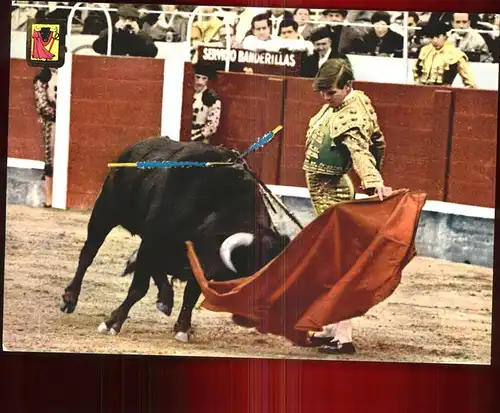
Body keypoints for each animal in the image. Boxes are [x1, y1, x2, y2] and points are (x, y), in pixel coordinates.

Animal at [60, 137, 292, 340]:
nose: (255, 318)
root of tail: (137, 145)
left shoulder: (197, 261)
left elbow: (191, 293)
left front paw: (182, 328)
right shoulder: (153, 241)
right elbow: (139, 288)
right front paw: (112, 323)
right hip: (105, 212)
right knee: (88, 254)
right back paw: (70, 298)